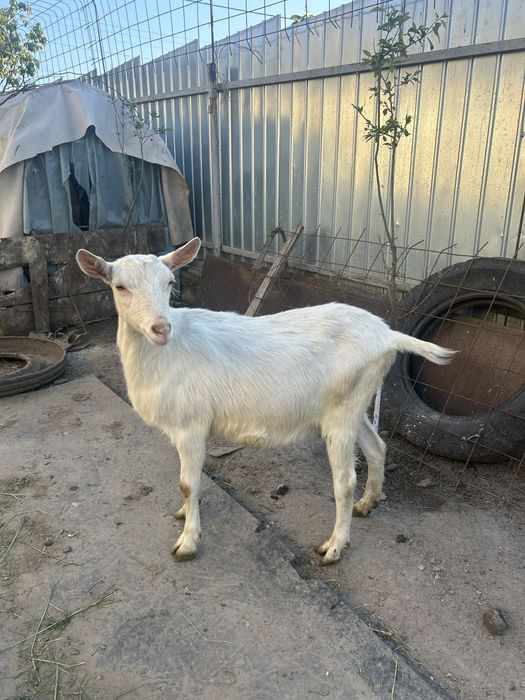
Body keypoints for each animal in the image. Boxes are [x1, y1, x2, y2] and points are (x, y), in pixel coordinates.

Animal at [76, 238, 454, 565]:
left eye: (169, 282)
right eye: (119, 286)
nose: (160, 328)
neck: (166, 353)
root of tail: (387, 335)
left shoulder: (191, 427)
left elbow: (188, 482)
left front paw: (187, 541)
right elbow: (186, 484)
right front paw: (184, 514)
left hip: (342, 410)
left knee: (345, 480)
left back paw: (334, 546)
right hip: (353, 404)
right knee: (376, 448)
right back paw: (367, 504)